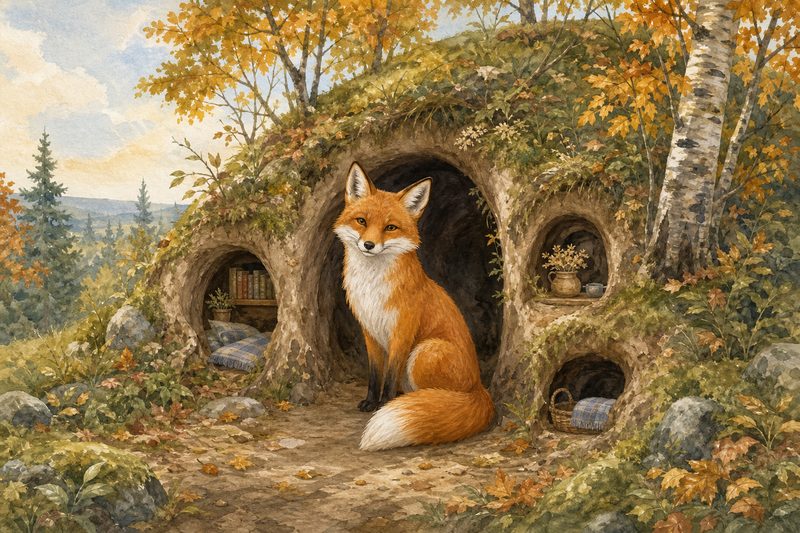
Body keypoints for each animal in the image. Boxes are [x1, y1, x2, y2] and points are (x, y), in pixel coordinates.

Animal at [334, 162, 494, 451]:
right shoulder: (369, 331)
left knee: (435, 396)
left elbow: (389, 374)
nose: (368, 245)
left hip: (425, 352)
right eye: (362, 221)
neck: (372, 287)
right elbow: (375, 373)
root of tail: (479, 388)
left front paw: (385, 403)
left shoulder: (402, 331)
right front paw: (371, 402)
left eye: (390, 227)